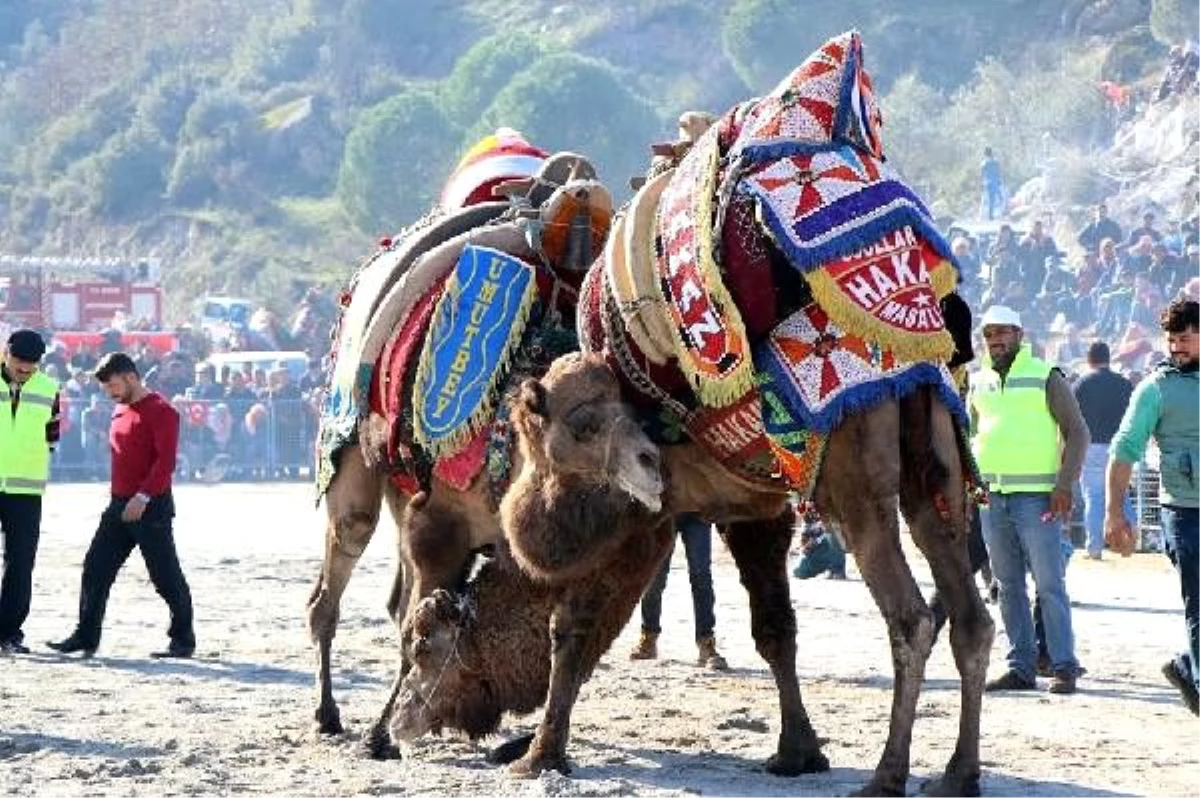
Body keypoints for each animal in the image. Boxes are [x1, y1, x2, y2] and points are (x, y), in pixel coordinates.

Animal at [302, 130, 667, 753]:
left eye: (640, 412)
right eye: (583, 424)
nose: (651, 463)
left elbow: (566, 641)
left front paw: (522, 744)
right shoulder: (436, 524)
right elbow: (416, 626)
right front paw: (382, 733)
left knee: (388, 599)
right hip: (352, 451)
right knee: (334, 585)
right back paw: (328, 714)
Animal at [393, 32, 993, 796]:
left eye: (423, 646)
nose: (403, 723)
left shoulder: (640, 520)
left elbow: (573, 628)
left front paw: (539, 753)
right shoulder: (751, 510)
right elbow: (774, 627)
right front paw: (798, 751)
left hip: (853, 474)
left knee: (912, 618)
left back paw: (887, 776)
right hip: (935, 452)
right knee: (970, 616)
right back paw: (957, 774)